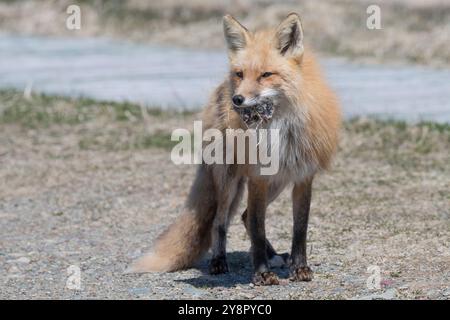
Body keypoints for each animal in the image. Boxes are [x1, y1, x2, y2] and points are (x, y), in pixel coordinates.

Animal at [129, 12, 342, 284]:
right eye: (240, 74)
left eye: (266, 74)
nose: (237, 100)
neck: (279, 127)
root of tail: (220, 88)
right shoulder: (258, 177)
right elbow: (258, 227)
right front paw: (262, 273)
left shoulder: (303, 176)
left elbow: (299, 229)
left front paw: (299, 267)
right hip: (229, 179)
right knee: (220, 221)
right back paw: (219, 261)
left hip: (278, 181)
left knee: (243, 216)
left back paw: (275, 257)